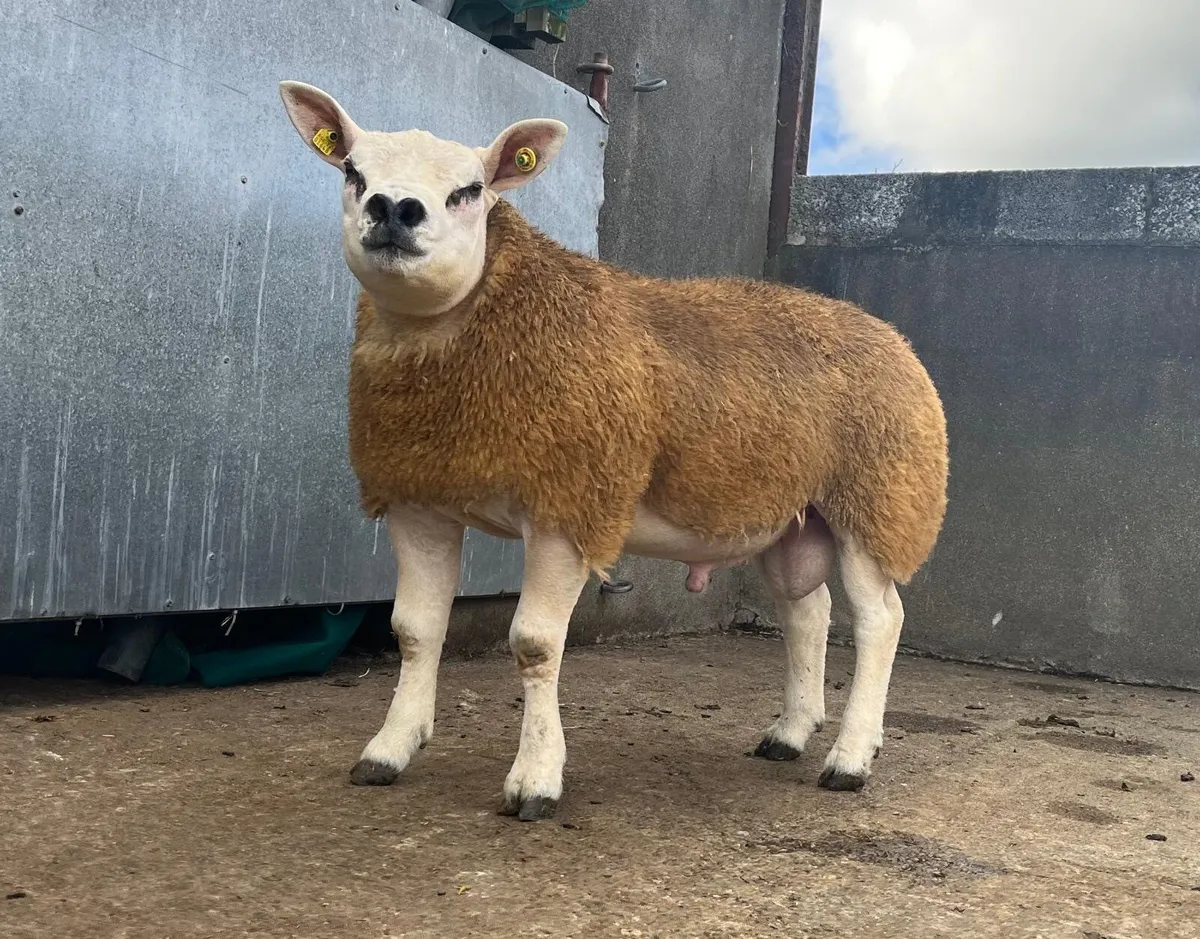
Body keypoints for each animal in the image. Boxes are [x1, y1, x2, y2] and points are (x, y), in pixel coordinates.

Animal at [279, 81, 949, 821]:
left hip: (879, 499)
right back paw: (790, 732)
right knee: (807, 612)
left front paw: (536, 778)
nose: (393, 209)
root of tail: (895, 339)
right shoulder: (418, 497)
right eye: (352, 172)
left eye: (471, 190)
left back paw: (851, 758)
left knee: (879, 620)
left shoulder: (571, 501)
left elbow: (534, 644)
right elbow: (415, 630)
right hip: (790, 513)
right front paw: (389, 749)